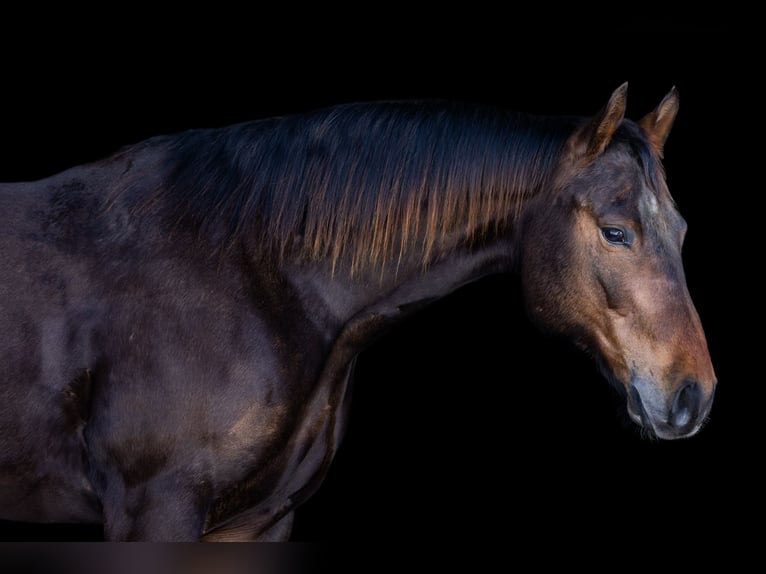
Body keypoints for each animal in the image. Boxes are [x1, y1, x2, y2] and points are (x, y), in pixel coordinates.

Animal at [0, 83, 716, 541]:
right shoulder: (155, 510)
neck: (250, 272)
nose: (694, 396)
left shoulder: (256, 522)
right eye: (617, 232)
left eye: (682, 230)